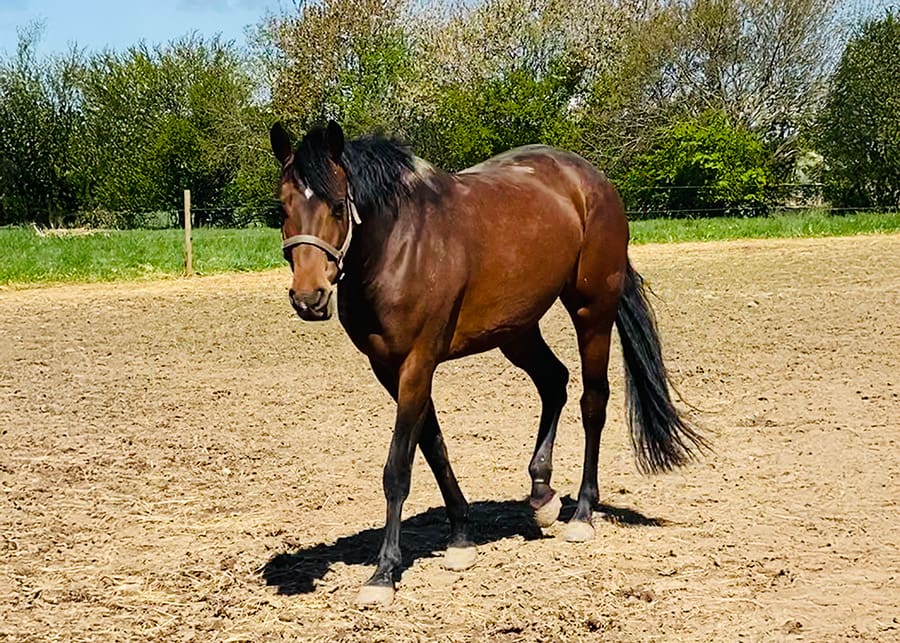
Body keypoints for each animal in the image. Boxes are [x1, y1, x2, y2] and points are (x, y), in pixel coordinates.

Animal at [269, 121, 706, 606]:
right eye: (282, 206)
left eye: (337, 205)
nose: (309, 297)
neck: (399, 243)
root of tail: (593, 180)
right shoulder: (389, 368)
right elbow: (434, 448)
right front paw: (461, 537)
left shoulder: (417, 363)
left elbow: (398, 467)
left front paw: (383, 572)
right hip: (516, 329)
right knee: (554, 381)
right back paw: (542, 494)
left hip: (592, 310)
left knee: (593, 402)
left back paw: (582, 514)